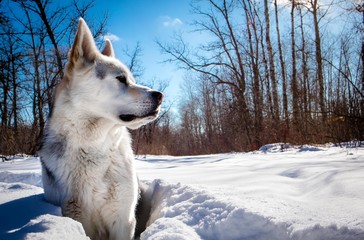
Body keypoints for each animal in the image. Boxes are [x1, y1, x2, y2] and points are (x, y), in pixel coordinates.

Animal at [38, 18, 162, 240]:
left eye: (131, 79)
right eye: (121, 79)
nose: (160, 95)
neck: (95, 147)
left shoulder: (123, 219)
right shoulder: (77, 215)